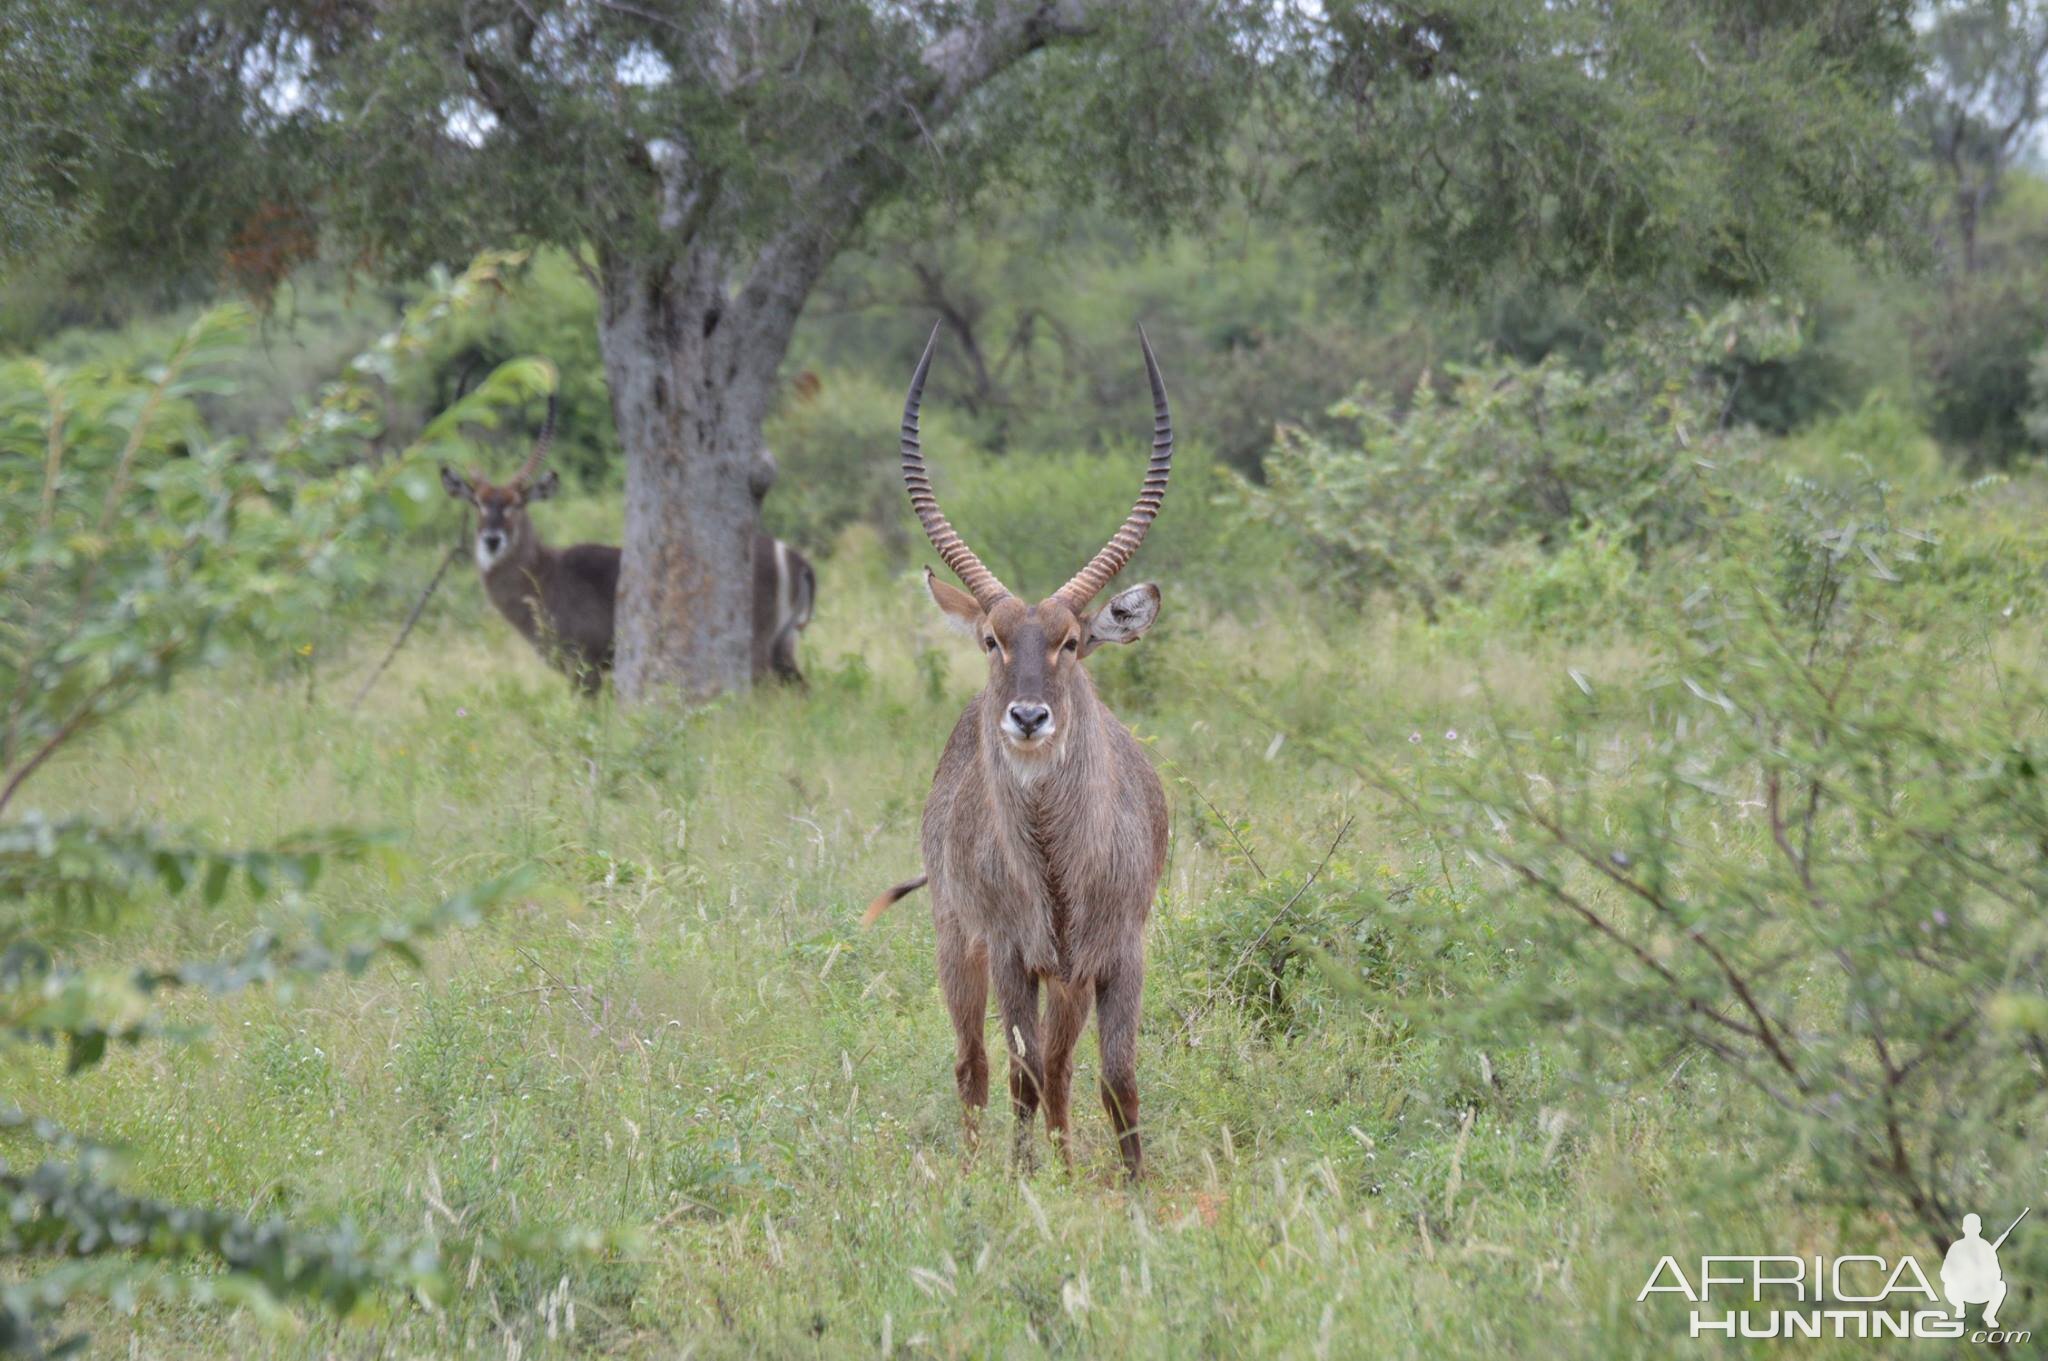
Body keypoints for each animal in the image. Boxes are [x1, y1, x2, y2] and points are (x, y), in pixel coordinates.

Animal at [444, 394, 811, 691]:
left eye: (517, 503)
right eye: (477, 503)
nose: (492, 540)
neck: (545, 576)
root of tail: (797, 559)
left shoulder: (586, 665)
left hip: (757, 649)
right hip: (783, 646)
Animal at [868, 329, 1179, 1178]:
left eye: (1072, 640)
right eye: (991, 639)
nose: (1029, 715)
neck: (1056, 863)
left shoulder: (1118, 953)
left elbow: (1115, 1077)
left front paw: (1129, 1185)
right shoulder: (1012, 954)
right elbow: (1019, 1071)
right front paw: (1021, 1180)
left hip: (1066, 977)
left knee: (1065, 1067)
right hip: (957, 940)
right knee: (975, 1063)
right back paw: (980, 1171)